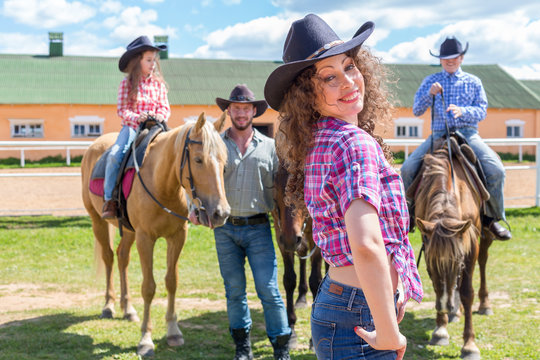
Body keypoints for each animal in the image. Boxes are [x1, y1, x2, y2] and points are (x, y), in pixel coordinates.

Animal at [81, 113, 229, 358]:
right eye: (198, 159)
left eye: (224, 162)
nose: (221, 213)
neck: (162, 184)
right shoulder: (145, 238)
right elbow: (149, 287)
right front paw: (145, 340)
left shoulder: (177, 236)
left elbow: (172, 281)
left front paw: (173, 332)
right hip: (97, 221)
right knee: (109, 257)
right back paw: (109, 306)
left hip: (128, 230)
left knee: (122, 256)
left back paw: (128, 309)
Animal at [270, 162, 324, 346]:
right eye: (275, 186)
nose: (291, 239)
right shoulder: (280, 234)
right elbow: (289, 280)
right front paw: (291, 330)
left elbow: (316, 280)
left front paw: (313, 340)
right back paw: (301, 298)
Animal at [414, 140, 494, 360]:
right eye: (431, 266)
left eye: (457, 263)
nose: (444, 305)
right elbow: (438, 287)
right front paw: (440, 330)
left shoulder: (471, 247)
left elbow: (467, 292)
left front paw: (469, 345)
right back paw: (454, 312)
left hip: (485, 237)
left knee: (483, 261)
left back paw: (483, 305)